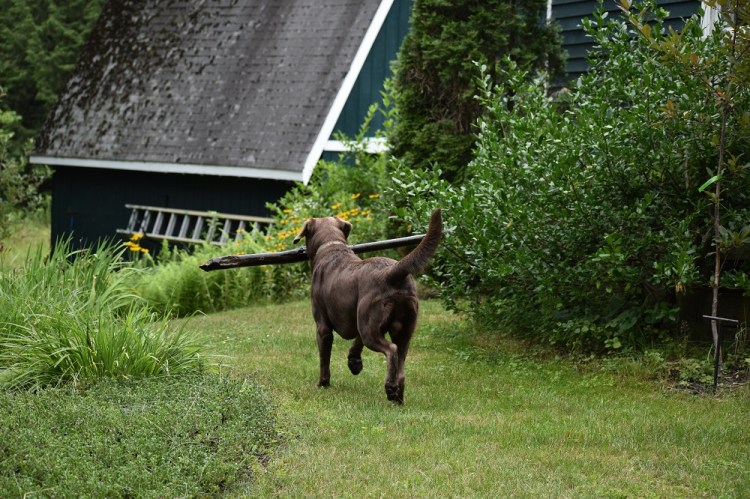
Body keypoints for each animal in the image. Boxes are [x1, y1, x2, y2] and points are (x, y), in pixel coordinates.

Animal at [293, 208, 442, 404]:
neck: (330, 246)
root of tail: (393, 273)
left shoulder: (323, 327)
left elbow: (324, 358)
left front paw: (322, 384)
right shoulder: (358, 318)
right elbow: (357, 341)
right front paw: (354, 362)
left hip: (370, 324)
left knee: (391, 350)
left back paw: (390, 387)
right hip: (401, 328)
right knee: (401, 366)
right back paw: (397, 398)